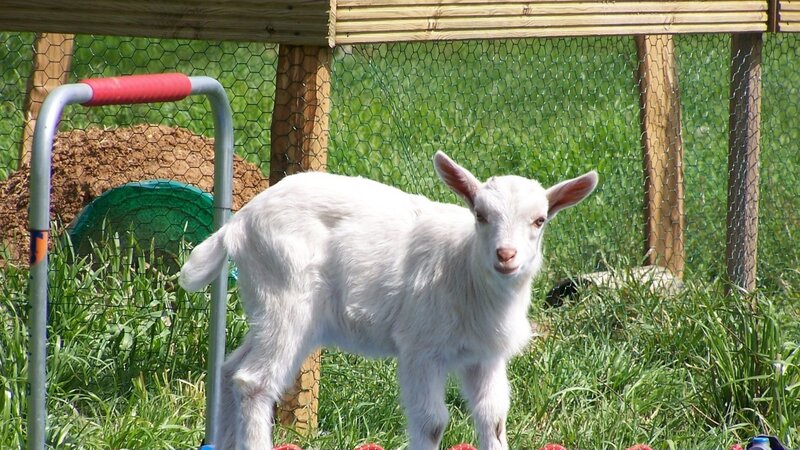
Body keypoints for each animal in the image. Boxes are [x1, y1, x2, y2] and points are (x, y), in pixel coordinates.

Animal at [179, 151, 598, 450]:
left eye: (540, 220)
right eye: (480, 215)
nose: (505, 255)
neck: (462, 268)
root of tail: (239, 223)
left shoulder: (484, 356)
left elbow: (492, 419)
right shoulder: (421, 348)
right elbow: (432, 423)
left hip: (269, 307)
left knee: (230, 369)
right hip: (285, 296)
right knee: (253, 382)